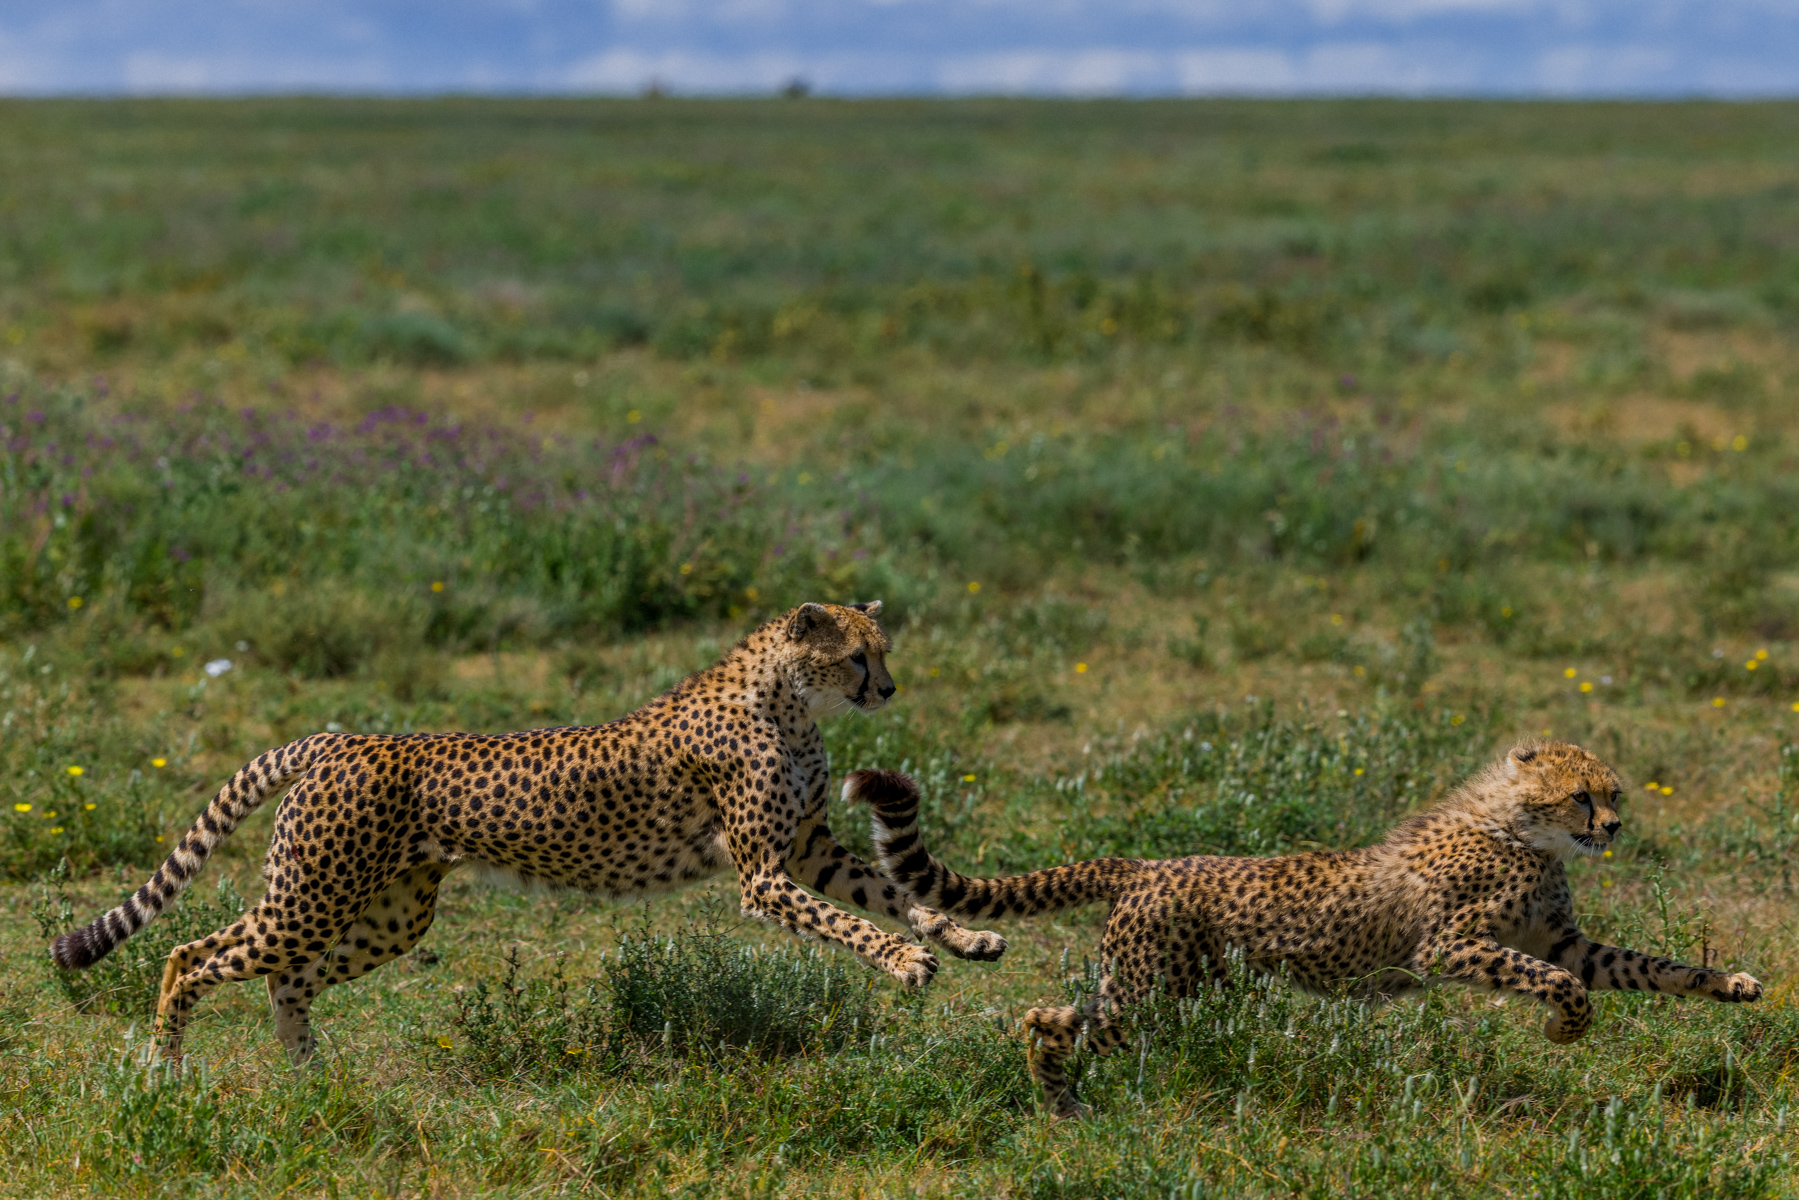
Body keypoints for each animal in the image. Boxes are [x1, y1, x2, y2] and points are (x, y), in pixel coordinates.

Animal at [50, 601, 1007, 1065]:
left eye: (883, 653)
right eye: (857, 657)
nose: (887, 690)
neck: (788, 700)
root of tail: (338, 738)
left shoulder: (806, 848)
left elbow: (891, 889)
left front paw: (961, 936)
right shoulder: (764, 875)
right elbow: (849, 921)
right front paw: (905, 962)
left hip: (393, 915)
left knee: (285, 981)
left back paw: (311, 1084)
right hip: (311, 895)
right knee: (191, 956)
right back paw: (166, 1074)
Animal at [845, 740, 1763, 1119]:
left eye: (1613, 795)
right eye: (1582, 796)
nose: (1612, 828)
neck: (1516, 829)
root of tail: (1150, 863)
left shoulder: (1557, 938)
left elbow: (1643, 965)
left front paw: (1727, 982)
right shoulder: (1452, 947)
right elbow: (1565, 983)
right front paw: (1562, 1030)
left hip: (1170, 992)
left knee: (1054, 1015)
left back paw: (1059, 1098)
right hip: (1152, 995)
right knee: (1048, 1020)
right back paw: (1059, 1100)